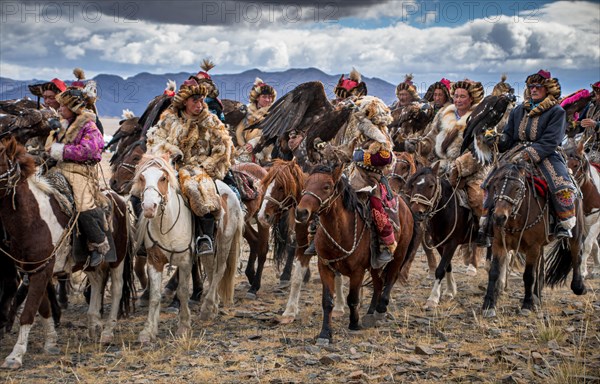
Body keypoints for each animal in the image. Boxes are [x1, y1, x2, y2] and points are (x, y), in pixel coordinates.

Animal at [296, 164, 418, 344]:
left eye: (327, 187)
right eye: (306, 184)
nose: (301, 212)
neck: (341, 232)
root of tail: (404, 203)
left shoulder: (357, 272)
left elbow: (352, 299)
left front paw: (354, 323)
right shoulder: (324, 267)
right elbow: (327, 301)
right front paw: (325, 333)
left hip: (399, 254)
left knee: (390, 279)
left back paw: (380, 309)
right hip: (375, 264)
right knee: (378, 283)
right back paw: (370, 313)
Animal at [406, 164, 480, 310]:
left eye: (431, 185)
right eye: (412, 185)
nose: (416, 212)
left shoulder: (452, 243)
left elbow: (440, 269)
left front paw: (433, 298)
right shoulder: (439, 243)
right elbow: (447, 266)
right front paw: (450, 290)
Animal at [482, 160, 584, 316]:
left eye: (517, 188)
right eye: (495, 186)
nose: (499, 217)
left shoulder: (533, 247)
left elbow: (529, 275)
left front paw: (527, 305)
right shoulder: (498, 244)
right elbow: (494, 272)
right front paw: (489, 304)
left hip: (575, 230)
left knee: (576, 253)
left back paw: (578, 287)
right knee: (540, 268)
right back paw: (537, 297)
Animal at [564, 140, 600, 278]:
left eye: (575, 165)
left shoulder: (598, 222)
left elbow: (588, 244)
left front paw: (583, 270)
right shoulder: (584, 222)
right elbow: (592, 244)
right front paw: (596, 268)